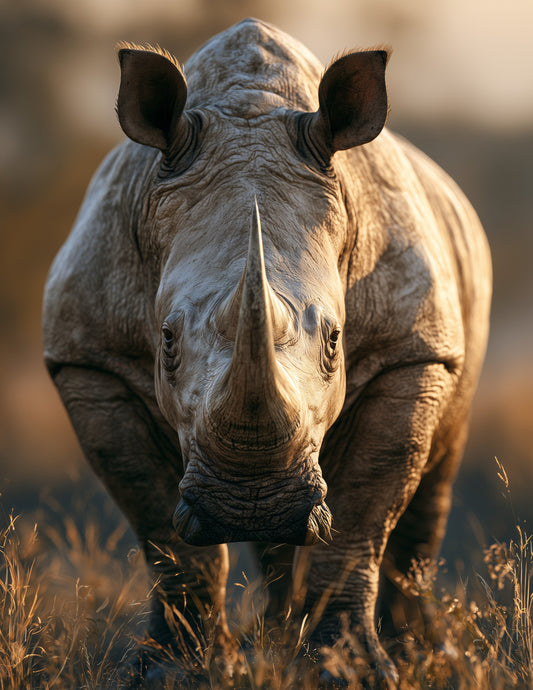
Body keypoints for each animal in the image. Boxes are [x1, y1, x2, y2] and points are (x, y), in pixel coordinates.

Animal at [43, 17, 491, 685]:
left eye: (336, 340)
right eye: (166, 341)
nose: (251, 506)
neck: (250, 108)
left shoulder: (410, 351)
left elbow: (361, 520)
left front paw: (351, 670)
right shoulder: (90, 357)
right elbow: (161, 530)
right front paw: (177, 671)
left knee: (435, 477)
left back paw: (424, 654)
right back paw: (278, 634)